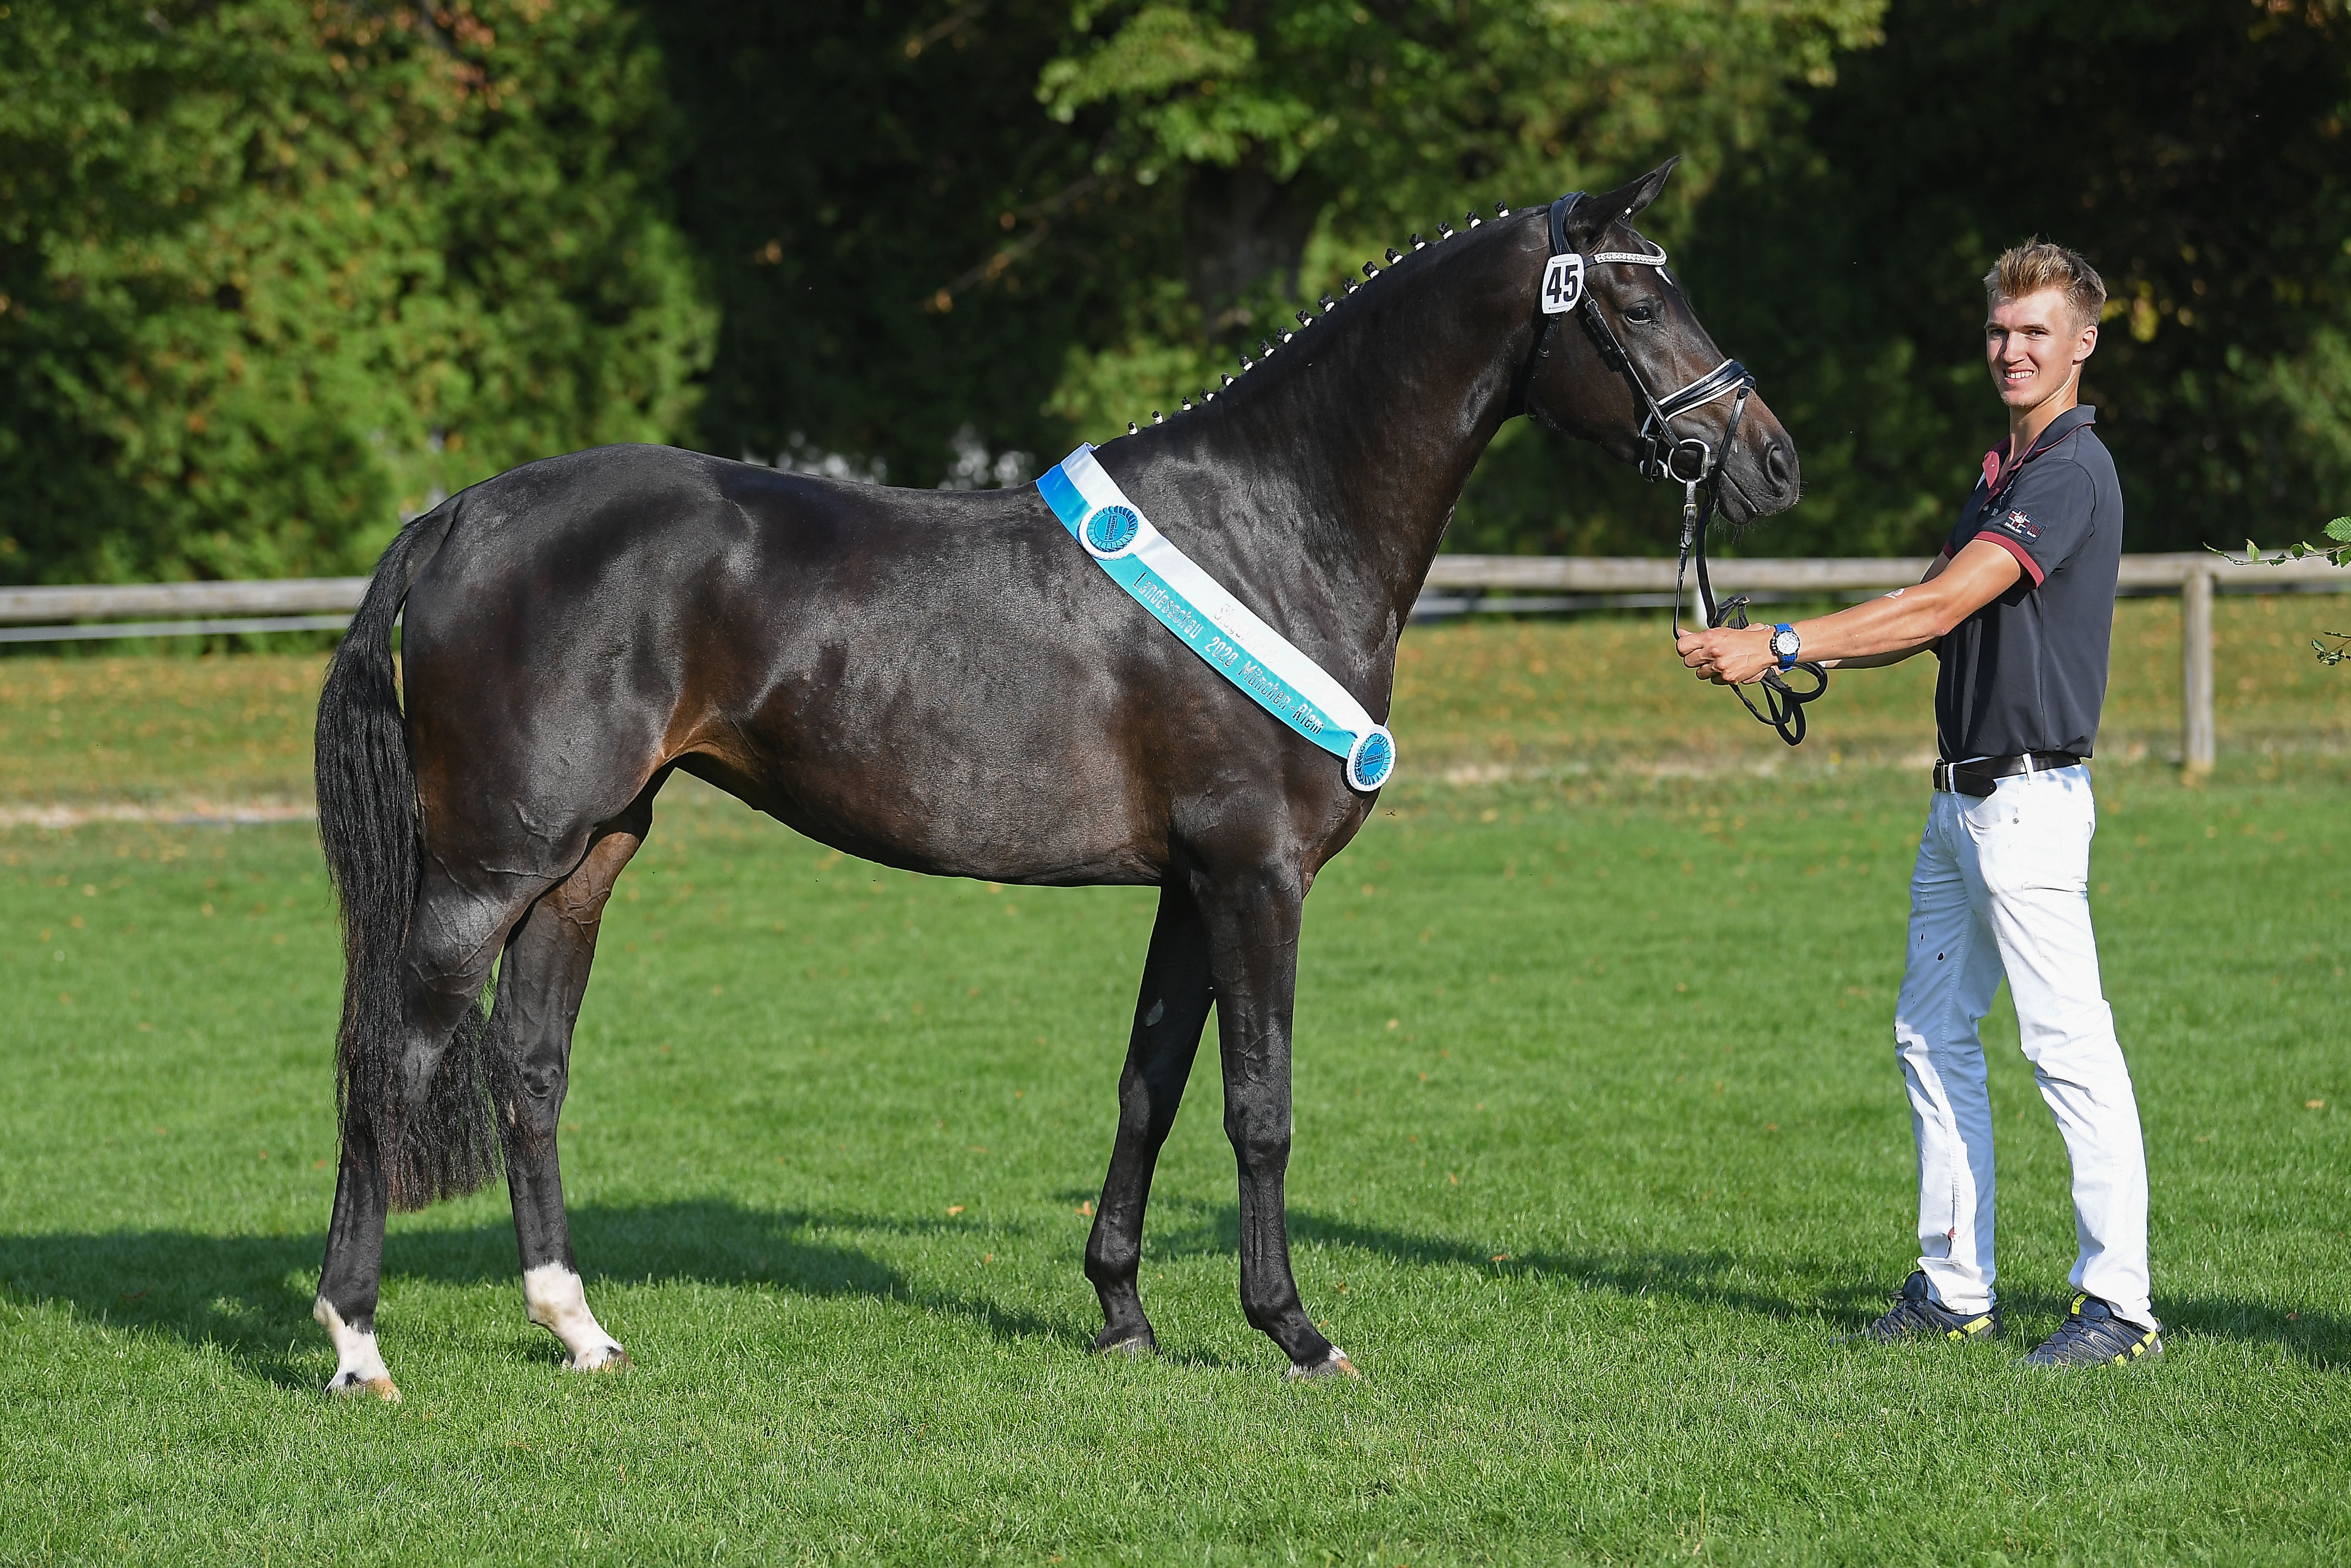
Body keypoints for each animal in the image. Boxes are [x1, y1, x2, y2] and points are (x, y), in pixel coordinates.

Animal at [303, 160, 1787, 1401]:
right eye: (1637, 299)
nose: (1771, 459)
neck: (1273, 531)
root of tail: (459, 514)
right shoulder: (1257, 877)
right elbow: (1260, 1107)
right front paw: (1295, 1331)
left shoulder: (1189, 887)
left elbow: (1151, 1086)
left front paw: (1124, 1316)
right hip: (490, 865)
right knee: (385, 1056)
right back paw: (357, 1345)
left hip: (588, 858)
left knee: (528, 1067)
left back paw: (578, 1330)